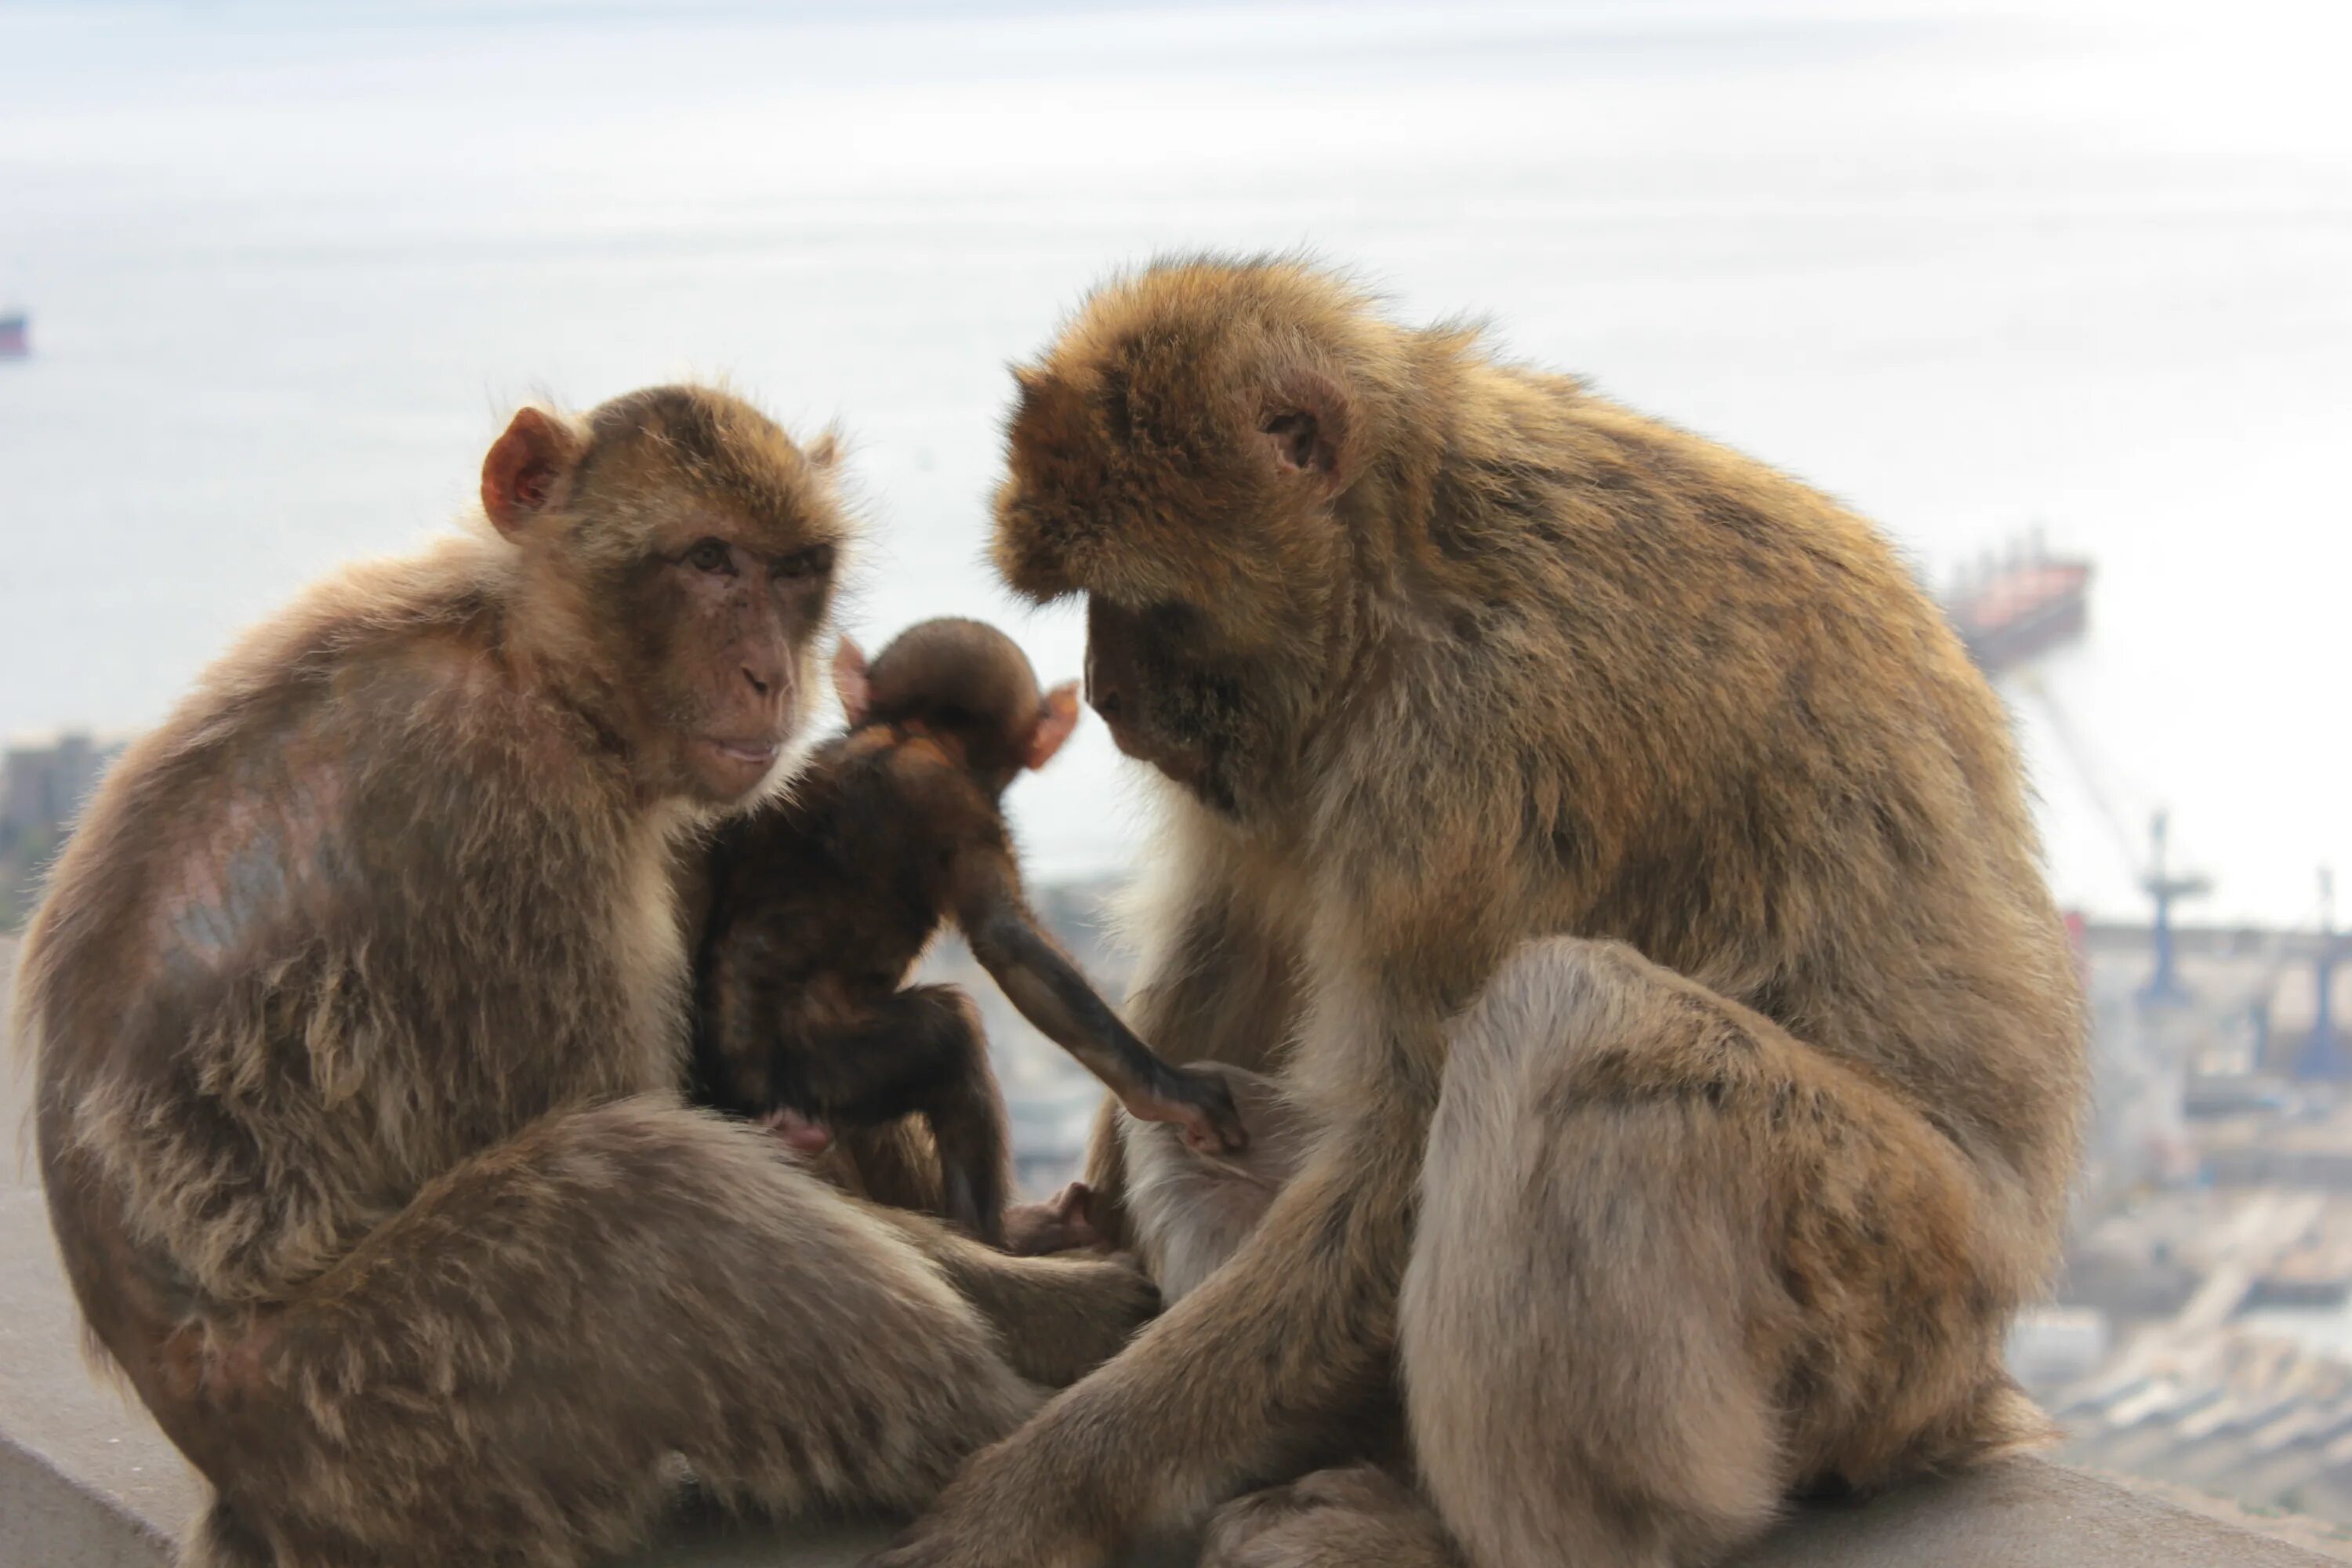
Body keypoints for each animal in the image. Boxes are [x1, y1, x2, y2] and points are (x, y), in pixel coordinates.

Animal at [16, 383, 1157, 1568]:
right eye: (708, 560)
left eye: (794, 569)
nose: (768, 675)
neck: (532, 663)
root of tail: (239, 1481)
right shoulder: (503, 819)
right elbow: (643, 1111)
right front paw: (1068, 1303)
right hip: (379, 1418)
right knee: (645, 1185)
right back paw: (1029, 1438)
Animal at [687, 620, 1251, 1241]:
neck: (911, 733)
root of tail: (762, 1102)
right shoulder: (969, 812)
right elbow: (1005, 939)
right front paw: (1167, 1095)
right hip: (827, 1069)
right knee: (951, 1036)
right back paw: (1001, 1231)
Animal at [875, 257, 2089, 1568]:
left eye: (1144, 599)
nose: (1105, 697)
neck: (1408, 552)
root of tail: (1967, 1381)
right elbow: (1230, 952)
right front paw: (1070, 1231)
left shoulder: (1481, 750)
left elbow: (1398, 1153)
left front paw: (1044, 1489)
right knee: (1197, 1107)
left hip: (1879, 1296)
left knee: (1572, 1021)